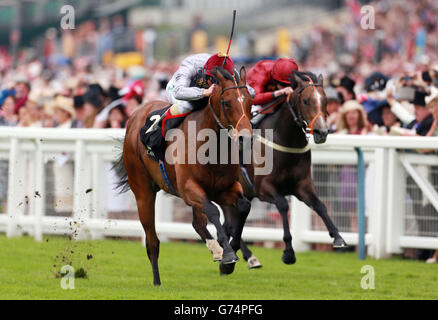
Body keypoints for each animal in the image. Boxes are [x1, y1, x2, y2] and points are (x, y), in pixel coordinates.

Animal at [114, 67, 253, 284]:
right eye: (227, 103)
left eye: (250, 102)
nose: (245, 138)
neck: (211, 147)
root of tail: (135, 116)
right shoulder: (189, 188)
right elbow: (213, 211)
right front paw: (228, 255)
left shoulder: (223, 189)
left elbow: (244, 206)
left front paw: (229, 255)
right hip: (143, 190)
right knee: (152, 240)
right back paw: (157, 281)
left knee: (197, 223)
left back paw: (216, 250)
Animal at [221, 70, 348, 268]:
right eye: (306, 101)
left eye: (325, 100)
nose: (322, 132)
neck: (286, 140)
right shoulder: (264, 188)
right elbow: (282, 205)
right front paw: (288, 252)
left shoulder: (302, 185)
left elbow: (320, 205)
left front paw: (338, 238)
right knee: (231, 224)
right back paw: (244, 256)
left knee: (230, 223)